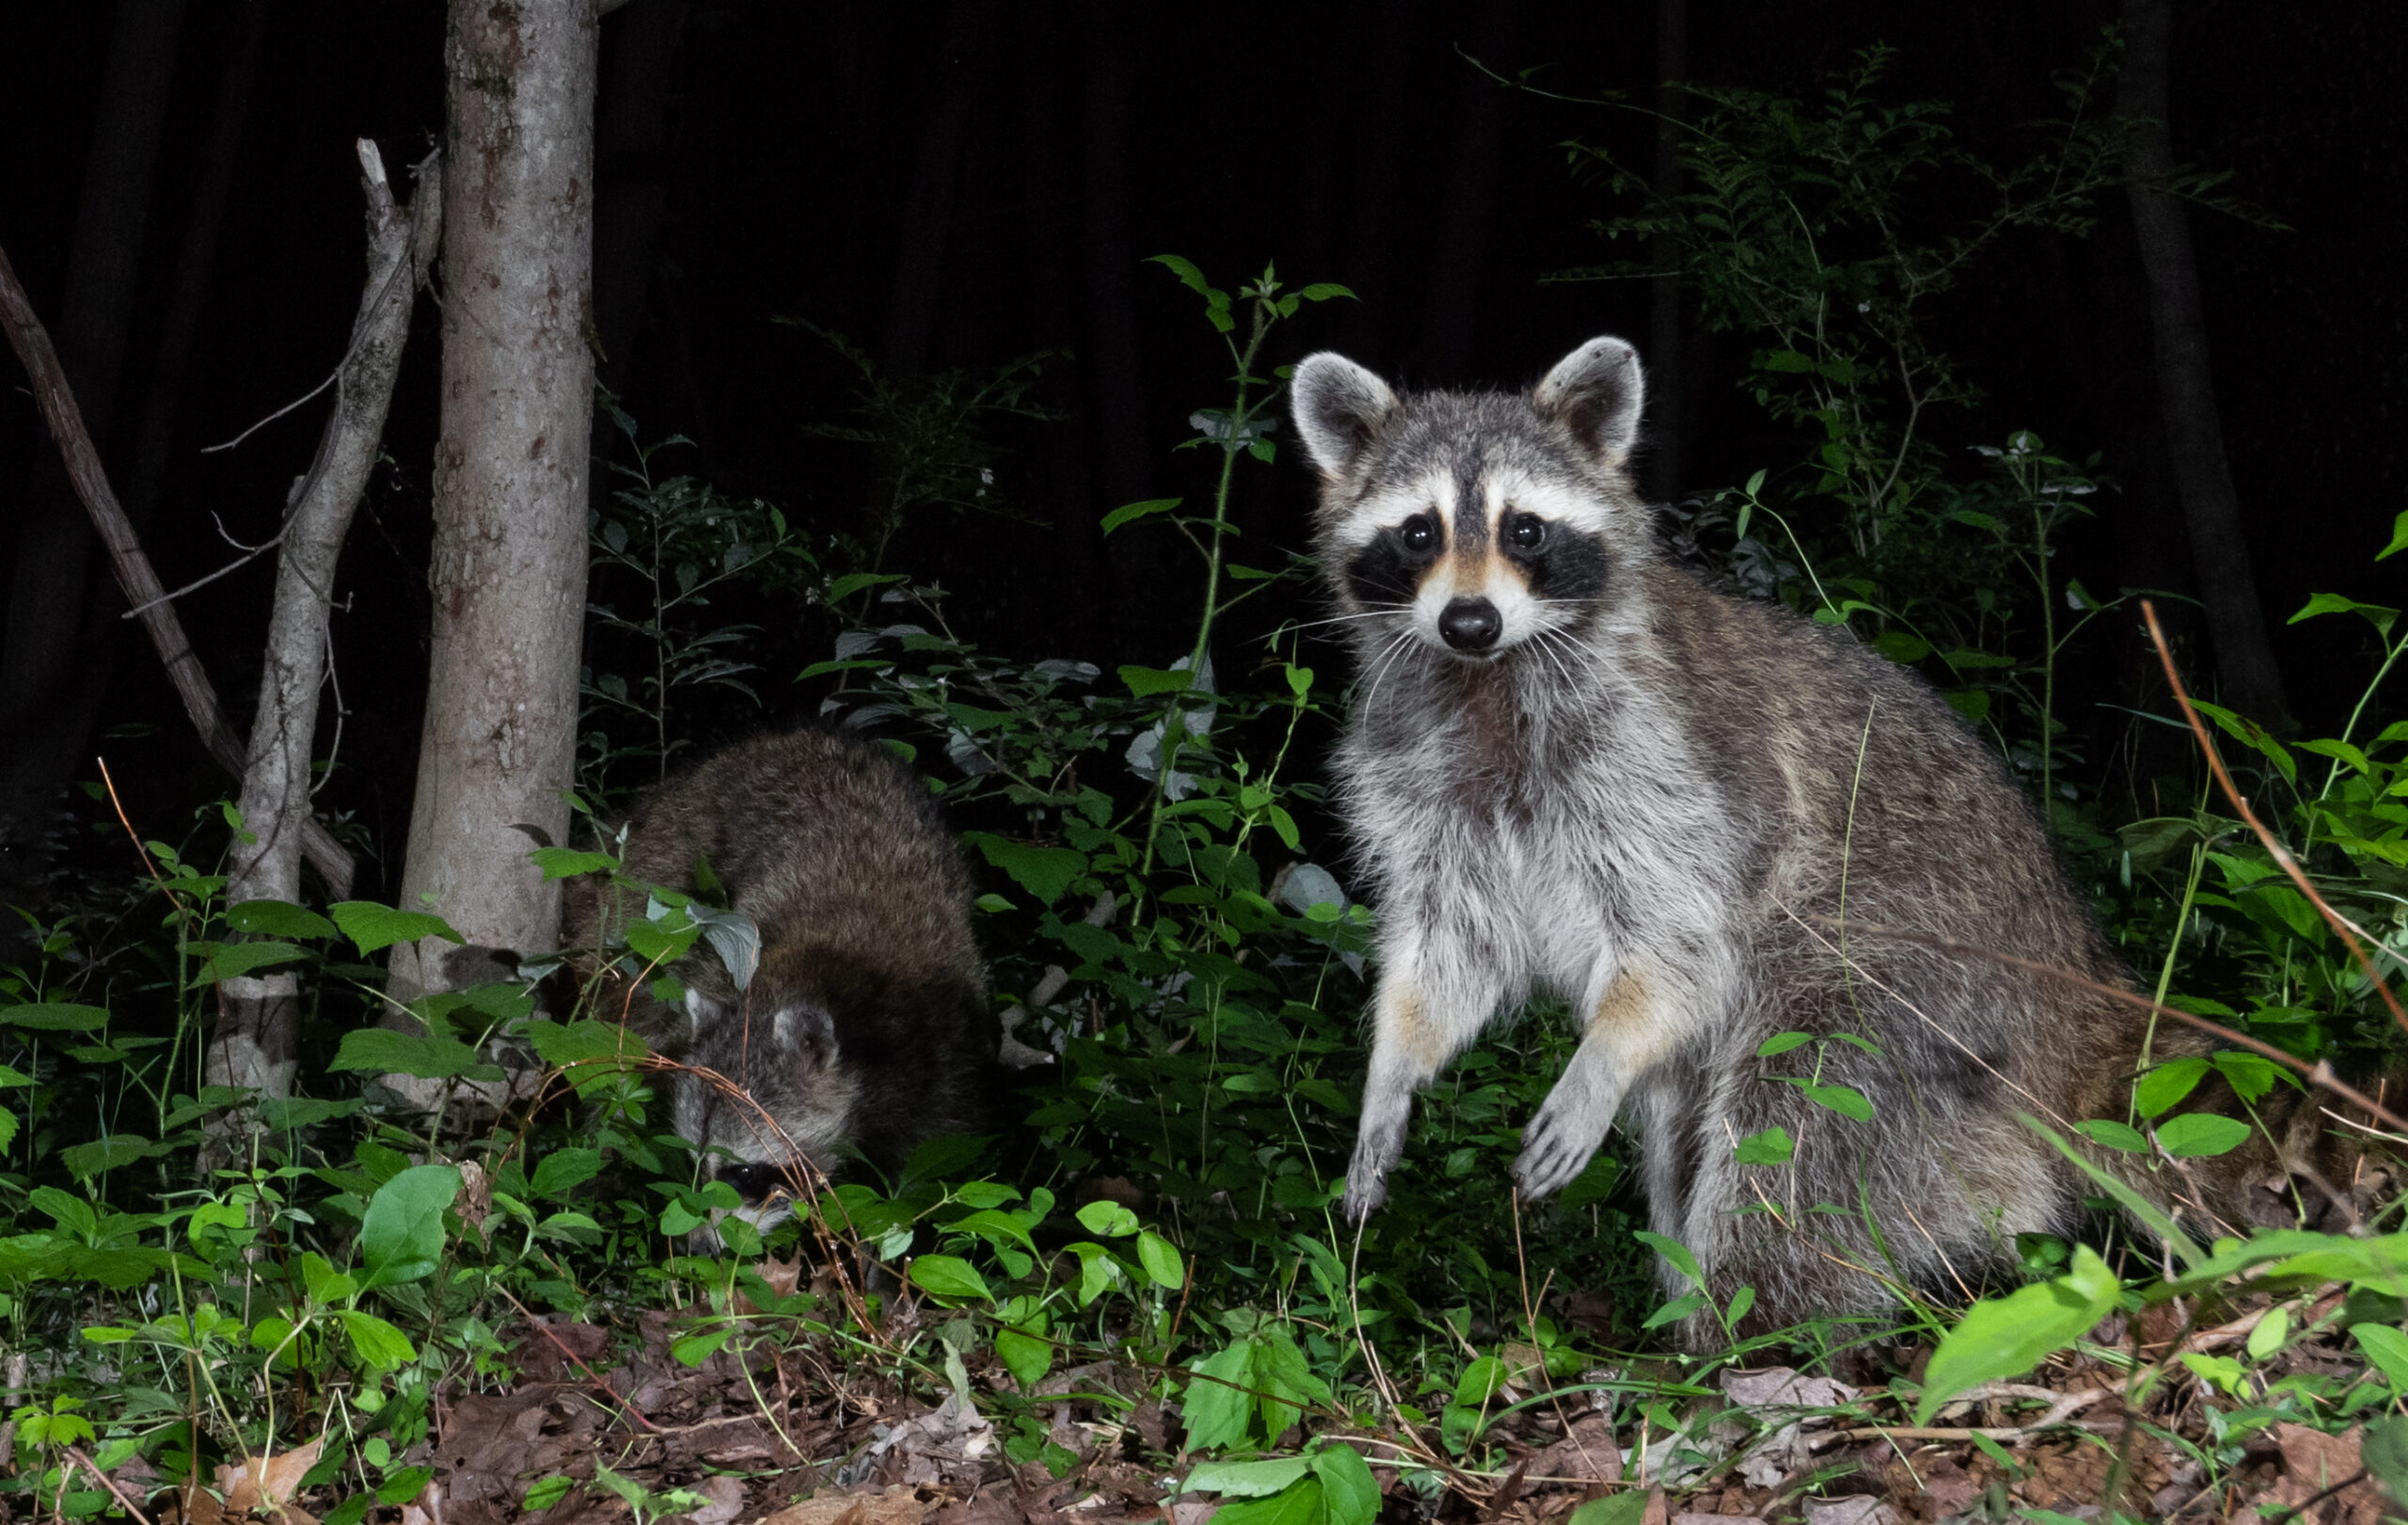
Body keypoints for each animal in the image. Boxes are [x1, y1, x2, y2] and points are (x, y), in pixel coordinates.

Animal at [570, 727, 998, 1235]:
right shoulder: (727, 960)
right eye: (695, 1161)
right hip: (656, 869)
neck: (825, 968)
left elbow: (930, 1160)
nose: (702, 1246)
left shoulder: (940, 1034)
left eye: (744, 1171)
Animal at [1288, 337, 2337, 1340]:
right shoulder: (1422, 774)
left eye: (1524, 530)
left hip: (1917, 967)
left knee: (1800, 1116)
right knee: (1685, 1138)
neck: (1488, 679)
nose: (1469, 619)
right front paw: (1393, 1070)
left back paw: (1747, 1335)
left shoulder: (1676, 763)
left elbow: (1681, 936)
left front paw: (1603, 1055)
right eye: (1418, 532)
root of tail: (2076, 981)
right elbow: (1452, 947)